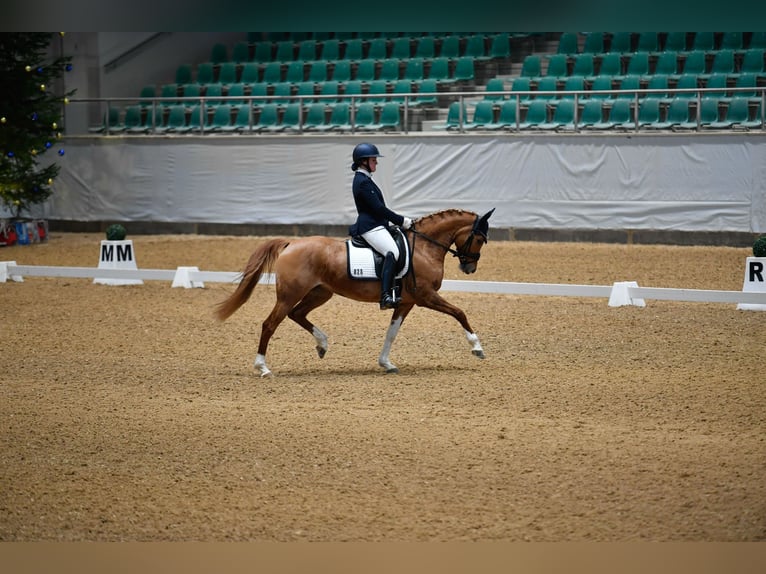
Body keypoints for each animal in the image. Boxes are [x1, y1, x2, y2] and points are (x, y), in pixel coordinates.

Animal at [216, 208, 498, 378]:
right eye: (480, 239)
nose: (469, 268)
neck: (424, 247)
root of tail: (291, 243)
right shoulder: (426, 297)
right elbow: (459, 313)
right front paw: (477, 347)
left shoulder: (405, 303)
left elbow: (391, 333)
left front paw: (386, 363)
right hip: (290, 295)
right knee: (270, 324)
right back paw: (263, 368)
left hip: (320, 293)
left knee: (297, 315)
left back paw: (322, 344)